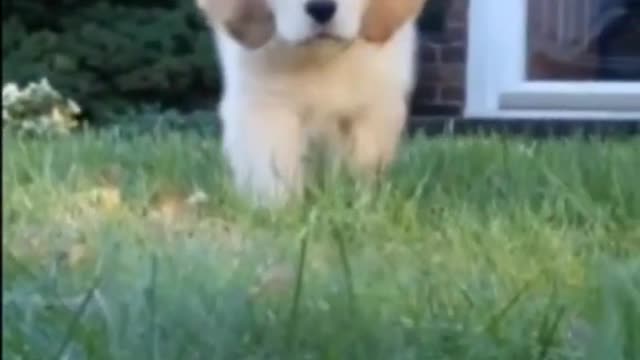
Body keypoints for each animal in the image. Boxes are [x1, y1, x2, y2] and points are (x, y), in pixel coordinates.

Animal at [198, 0, 428, 205]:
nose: (321, 8)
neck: (321, 59)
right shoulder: (265, 108)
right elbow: (274, 169)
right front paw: (280, 212)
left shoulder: (374, 108)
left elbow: (362, 164)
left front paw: (358, 202)